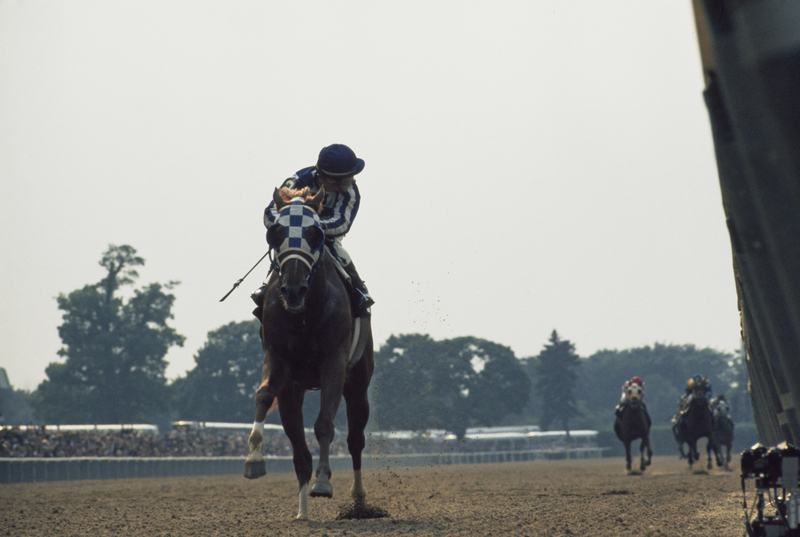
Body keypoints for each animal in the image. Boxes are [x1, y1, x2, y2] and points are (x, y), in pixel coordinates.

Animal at [244, 185, 376, 520]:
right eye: (275, 232)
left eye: (315, 233)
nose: (293, 290)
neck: (303, 313)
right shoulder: (278, 361)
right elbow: (263, 395)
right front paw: (253, 459)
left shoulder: (334, 362)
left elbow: (325, 424)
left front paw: (324, 482)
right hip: (295, 390)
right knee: (299, 450)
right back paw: (302, 512)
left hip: (359, 381)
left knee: (355, 440)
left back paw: (358, 499)